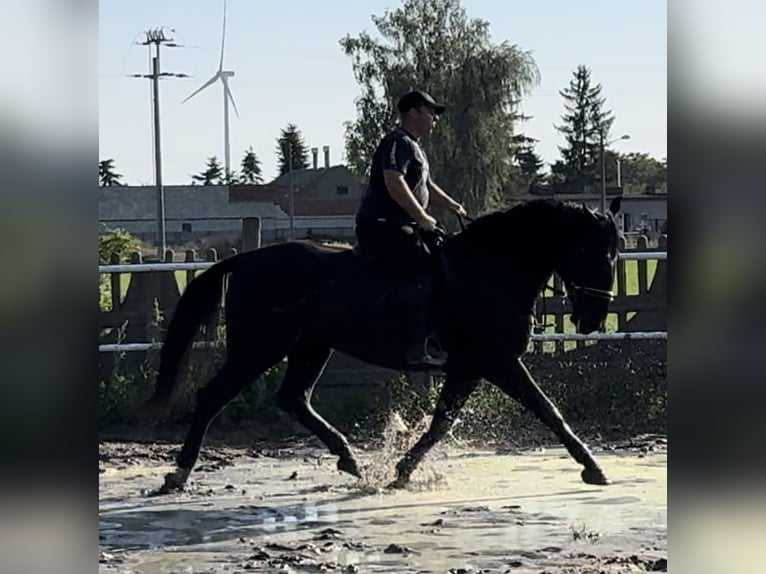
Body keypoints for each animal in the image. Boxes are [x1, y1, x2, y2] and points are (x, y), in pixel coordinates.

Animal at [146, 196, 624, 492]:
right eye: (596, 253)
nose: (592, 321)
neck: (490, 270)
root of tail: (245, 259)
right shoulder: (496, 362)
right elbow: (548, 411)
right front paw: (593, 467)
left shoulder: (467, 368)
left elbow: (440, 424)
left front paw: (400, 471)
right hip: (259, 348)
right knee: (214, 397)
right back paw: (179, 474)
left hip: (311, 346)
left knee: (294, 398)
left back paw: (351, 461)